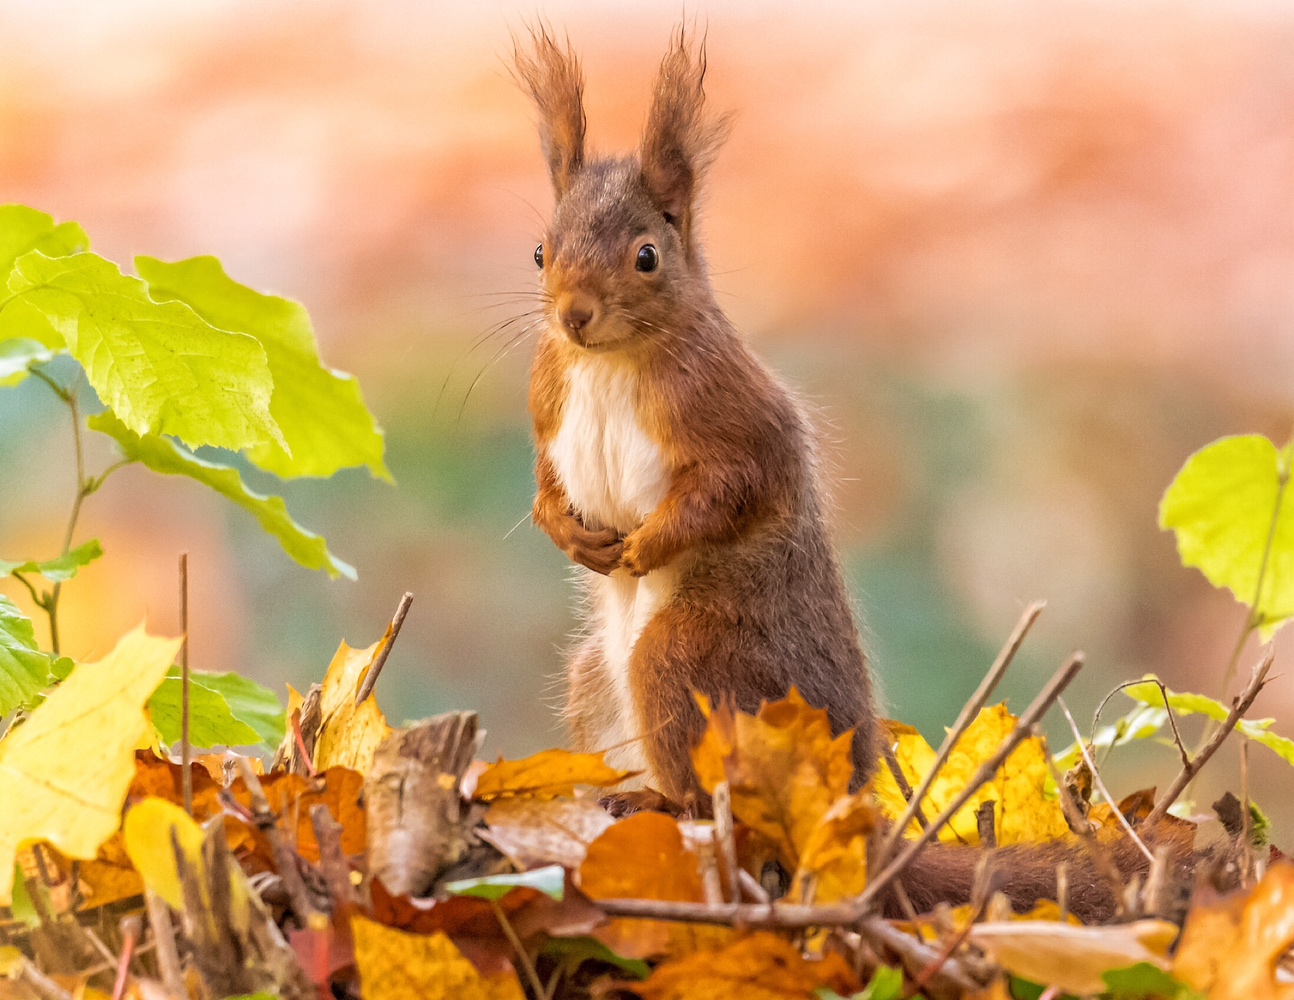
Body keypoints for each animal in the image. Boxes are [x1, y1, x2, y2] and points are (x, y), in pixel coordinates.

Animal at [509, 27, 1195, 921]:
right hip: (595, 674)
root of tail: (848, 821)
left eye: (647, 257)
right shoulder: (549, 400)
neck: (608, 360)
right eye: (540, 251)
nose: (574, 315)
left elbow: (732, 488)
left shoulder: (734, 417)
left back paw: (660, 800)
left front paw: (645, 547)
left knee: (699, 775)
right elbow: (545, 485)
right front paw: (569, 533)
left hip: (688, 658)